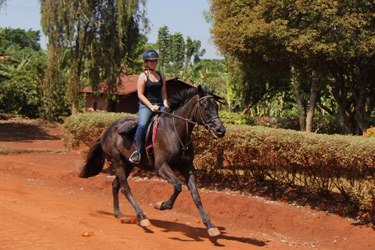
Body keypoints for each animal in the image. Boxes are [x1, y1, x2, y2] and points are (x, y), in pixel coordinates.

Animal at [78, 85, 226, 236]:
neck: (175, 132)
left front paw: (210, 225)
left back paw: (118, 213)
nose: (221, 130)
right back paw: (142, 217)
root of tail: (107, 131)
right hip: (117, 161)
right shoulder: (161, 167)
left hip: (127, 164)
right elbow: (178, 186)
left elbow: (196, 196)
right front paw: (162, 205)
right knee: (125, 188)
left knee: (115, 185)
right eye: (205, 107)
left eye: (217, 106)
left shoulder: (188, 168)